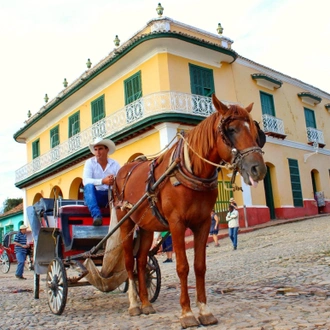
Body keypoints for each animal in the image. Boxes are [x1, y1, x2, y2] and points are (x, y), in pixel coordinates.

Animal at [112, 93, 266, 328]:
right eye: (231, 130)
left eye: (255, 131)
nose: (259, 169)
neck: (191, 172)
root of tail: (123, 171)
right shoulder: (177, 224)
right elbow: (182, 266)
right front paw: (186, 313)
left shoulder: (203, 223)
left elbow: (200, 266)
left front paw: (204, 310)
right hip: (126, 222)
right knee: (130, 262)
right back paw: (134, 305)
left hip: (146, 226)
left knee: (141, 262)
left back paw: (146, 303)